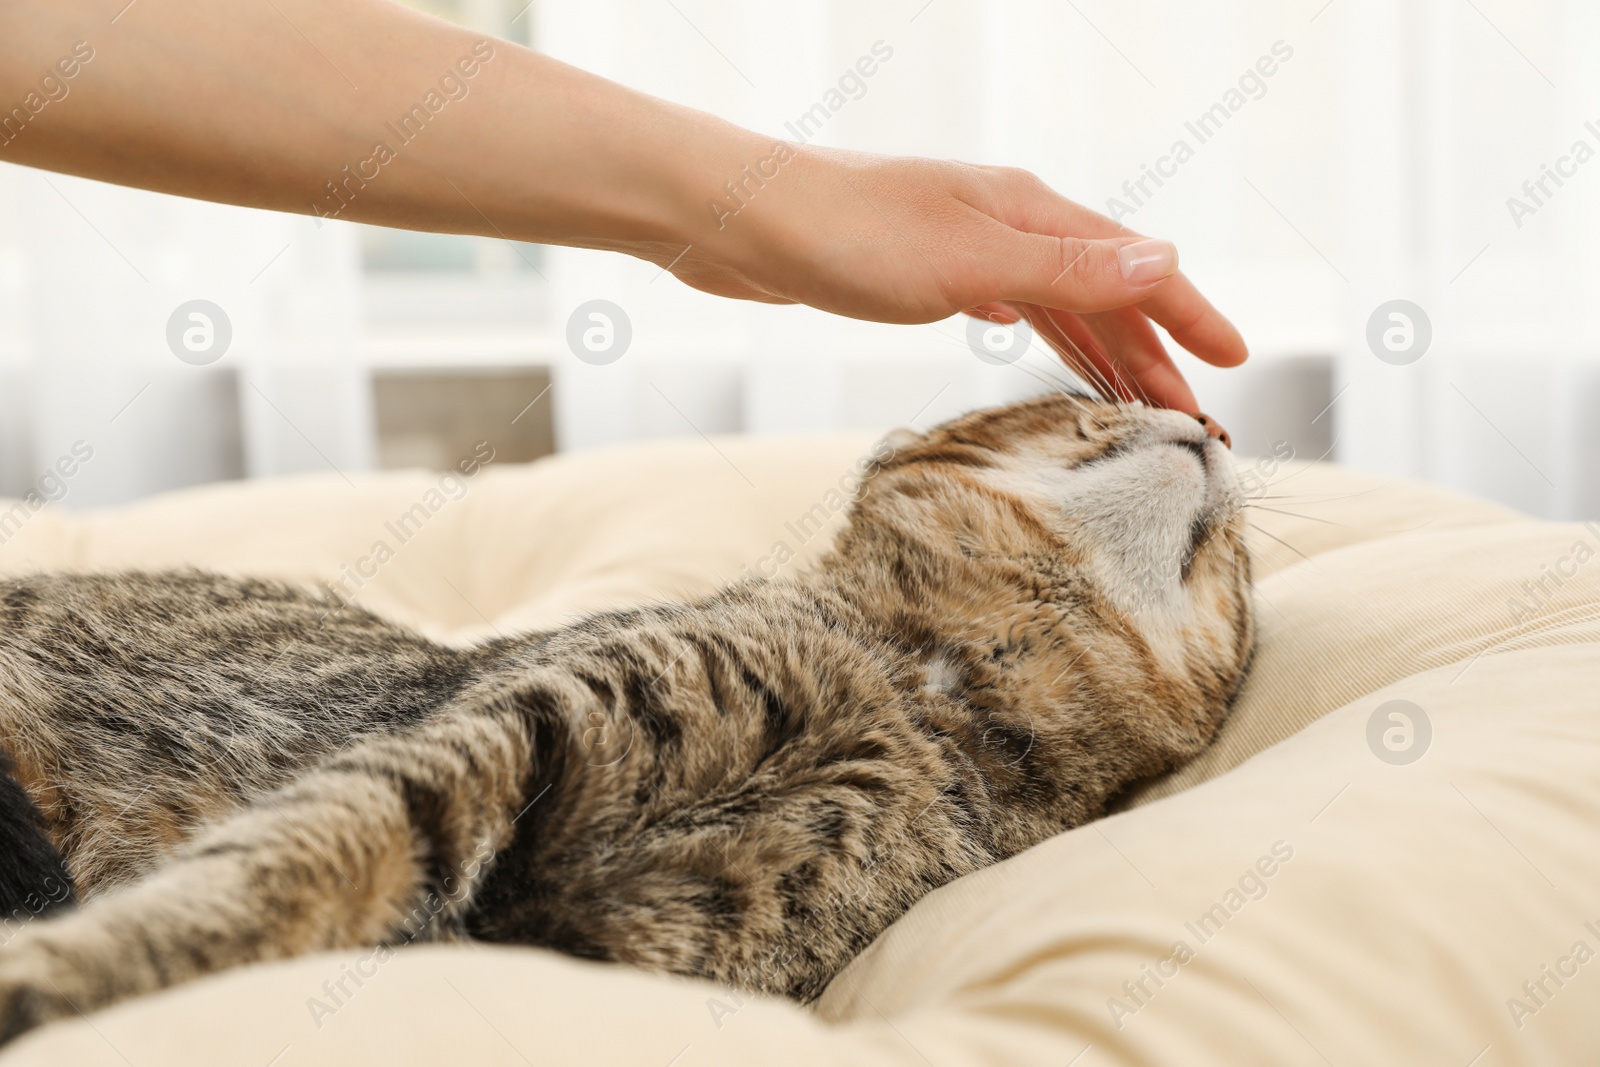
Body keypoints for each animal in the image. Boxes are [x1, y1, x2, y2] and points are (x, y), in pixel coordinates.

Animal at [0, 391, 1254, 1043]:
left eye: (1233, 561)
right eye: (1082, 402)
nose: (1211, 418)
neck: (918, 688)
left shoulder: (616, 939)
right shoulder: (484, 743)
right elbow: (268, 879)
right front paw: (63, 974)